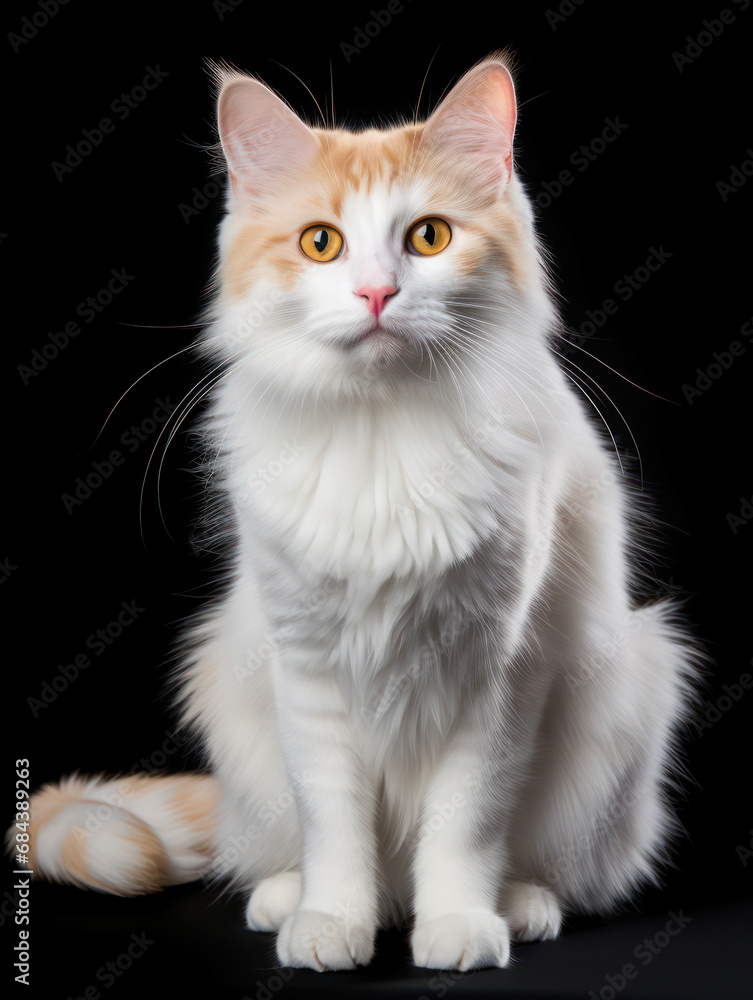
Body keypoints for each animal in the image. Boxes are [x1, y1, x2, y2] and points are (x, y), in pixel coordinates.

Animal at [17, 52, 700, 968]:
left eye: (429, 237)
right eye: (321, 243)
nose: (376, 294)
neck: (382, 437)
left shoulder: (499, 669)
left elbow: (465, 823)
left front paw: (458, 925)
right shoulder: (304, 667)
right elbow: (332, 821)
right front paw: (333, 922)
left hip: (625, 704)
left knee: (548, 870)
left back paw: (515, 907)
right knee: (284, 848)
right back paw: (294, 900)